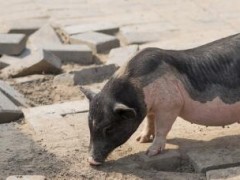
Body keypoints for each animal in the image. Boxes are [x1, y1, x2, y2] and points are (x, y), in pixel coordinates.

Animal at [80, 33, 240, 165]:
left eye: (109, 128)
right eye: (89, 125)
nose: (91, 161)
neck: (137, 88)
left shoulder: (170, 105)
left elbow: (162, 128)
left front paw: (150, 153)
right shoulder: (151, 108)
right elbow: (149, 120)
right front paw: (141, 140)